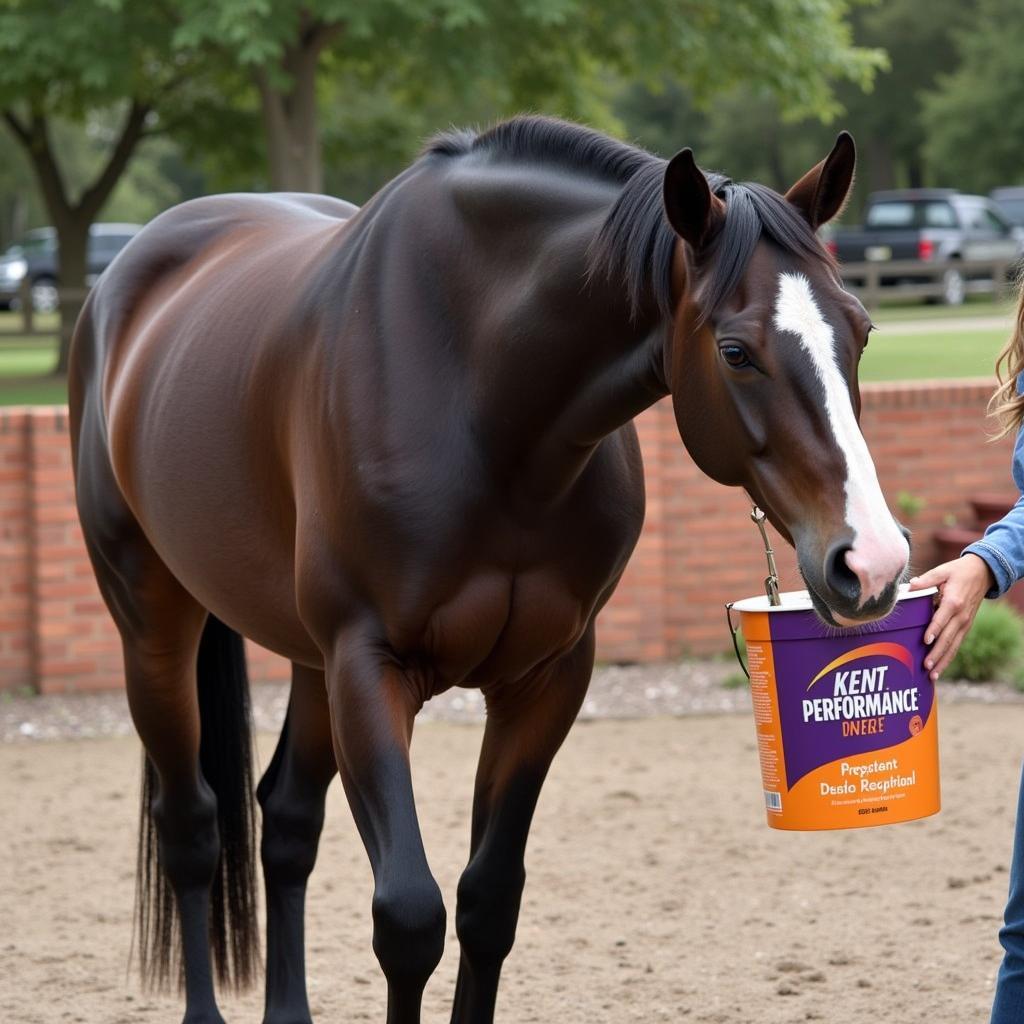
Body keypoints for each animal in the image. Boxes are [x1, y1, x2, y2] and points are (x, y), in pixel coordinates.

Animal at [68, 116, 909, 1024]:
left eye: (861, 329)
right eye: (735, 351)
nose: (872, 559)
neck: (483, 403)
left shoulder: (544, 679)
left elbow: (488, 902)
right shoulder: (369, 667)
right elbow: (409, 917)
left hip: (307, 660)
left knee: (286, 823)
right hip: (154, 623)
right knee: (190, 825)